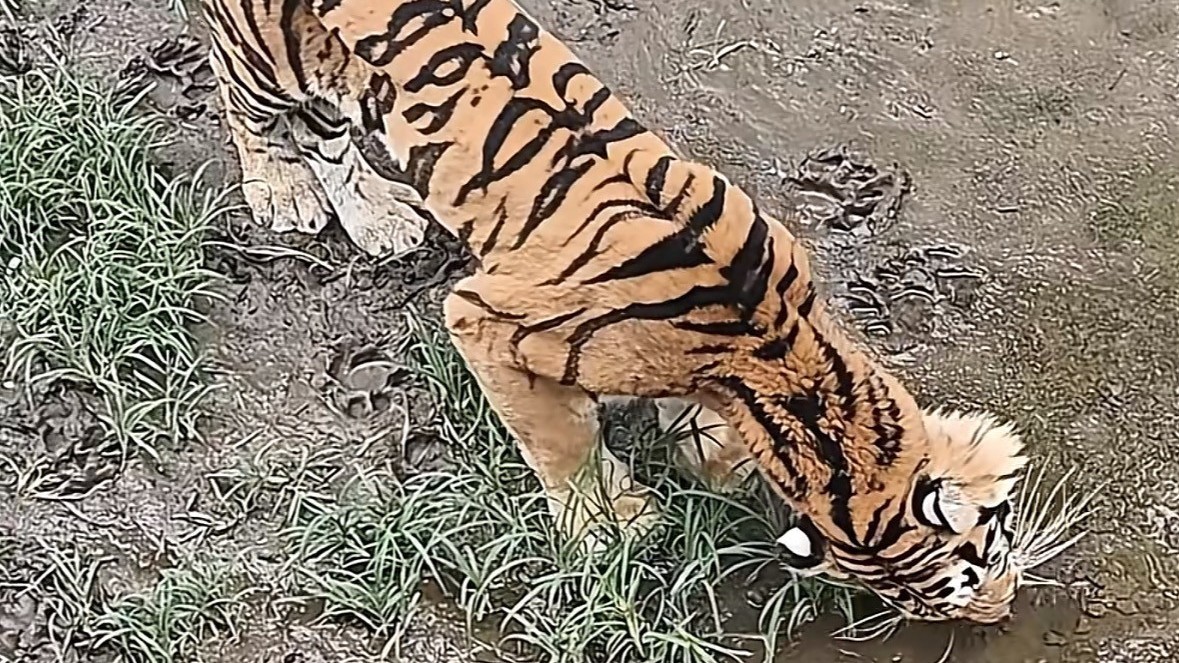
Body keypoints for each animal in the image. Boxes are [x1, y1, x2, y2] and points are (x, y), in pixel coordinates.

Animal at [198, 0, 1038, 624]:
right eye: (971, 573)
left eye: (985, 554)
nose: (998, 613)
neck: (776, 342)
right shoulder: (483, 319)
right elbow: (562, 437)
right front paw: (615, 523)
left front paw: (708, 456)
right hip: (268, 59)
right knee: (253, 109)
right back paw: (285, 193)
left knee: (329, 138)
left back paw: (377, 217)